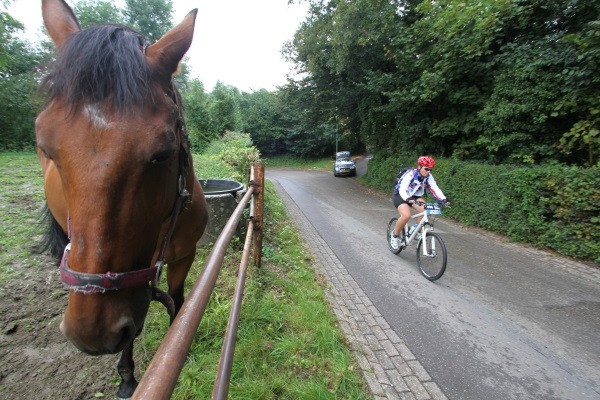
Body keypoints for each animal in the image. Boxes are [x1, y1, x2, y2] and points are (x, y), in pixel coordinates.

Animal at [36, 0, 209, 396]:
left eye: (162, 153)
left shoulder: (184, 257)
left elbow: (177, 303)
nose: (91, 333)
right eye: (46, 147)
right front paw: (128, 377)